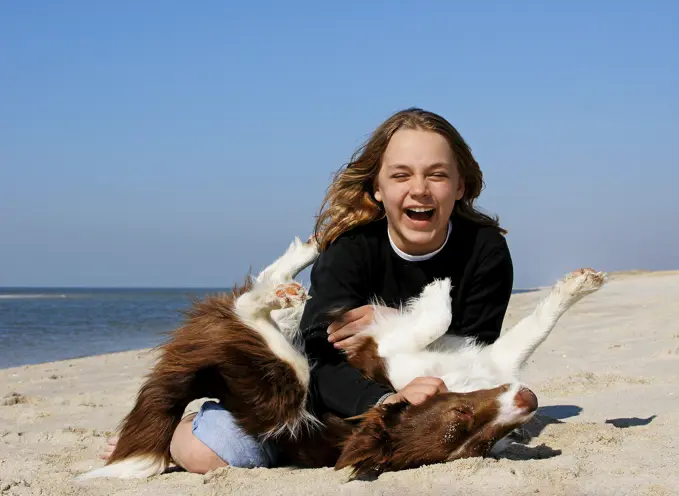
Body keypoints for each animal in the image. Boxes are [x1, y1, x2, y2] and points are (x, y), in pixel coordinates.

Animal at [77, 236, 608, 480]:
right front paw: (438, 288)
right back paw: (291, 277)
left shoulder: (496, 360)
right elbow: (437, 318)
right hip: (290, 378)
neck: (458, 378)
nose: (529, 399)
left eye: (481, 446)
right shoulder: (395, 349)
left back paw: (294, 276)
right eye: (458, 417)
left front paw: (580, 284)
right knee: (247, 305)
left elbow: (539, 323)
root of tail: (211, 377)